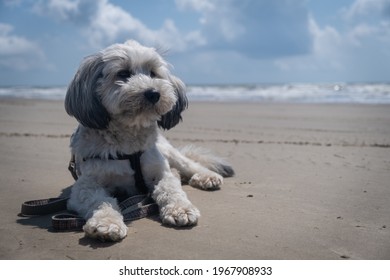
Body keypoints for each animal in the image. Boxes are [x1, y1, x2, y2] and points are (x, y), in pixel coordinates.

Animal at [64, 39, 235, 241]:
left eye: (153, 73)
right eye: (123, 73)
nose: (153, 93)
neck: (129, 143)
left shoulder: (159, 171)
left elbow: (171, 190)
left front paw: (181, 209)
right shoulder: (86, 185)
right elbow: (100, 201)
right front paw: (106, 223)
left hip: (167, 151)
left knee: (188, 164)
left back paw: (206, 176)